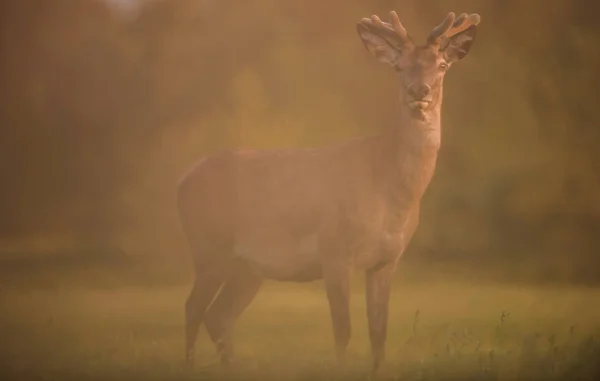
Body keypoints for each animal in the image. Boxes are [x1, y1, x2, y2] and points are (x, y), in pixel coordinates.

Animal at [176, 9, 480, 372]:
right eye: (398, 66)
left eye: (442, 65)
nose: (418, 91)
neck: (389, 190)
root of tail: (182, 181)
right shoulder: (334, 248)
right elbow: (343, 328)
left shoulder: (387, 259)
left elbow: (379, 332)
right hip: (210, 247)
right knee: (194, 308)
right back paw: (190, 366)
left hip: (246, 267)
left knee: (219, 316)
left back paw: (231, 368)